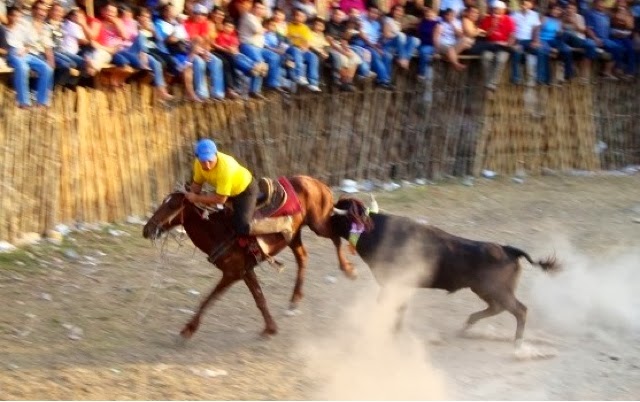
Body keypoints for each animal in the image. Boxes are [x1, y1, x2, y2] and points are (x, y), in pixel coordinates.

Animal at [141, 176, 356, 340]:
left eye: (172, 205)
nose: (147, 229)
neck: (218, 230)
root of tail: (317, 183)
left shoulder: (232, 273)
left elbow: (210, 298)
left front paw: (188, 329)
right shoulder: (245, 271)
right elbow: (259, 298)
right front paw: (270, 328)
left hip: (318, 224)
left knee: (336, 236)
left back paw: (348, 270)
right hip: (294, 235)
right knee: (303, 257)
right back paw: (295, 299)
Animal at [330, 196, 560, 344]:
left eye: (336, 215)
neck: (374, 230)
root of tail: (508, 249)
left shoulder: (394, 284)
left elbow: (393, 307)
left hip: (497, 290)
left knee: (520, 310)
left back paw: (517, 343)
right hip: (483, 290)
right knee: (499, 308)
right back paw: (466, 327)